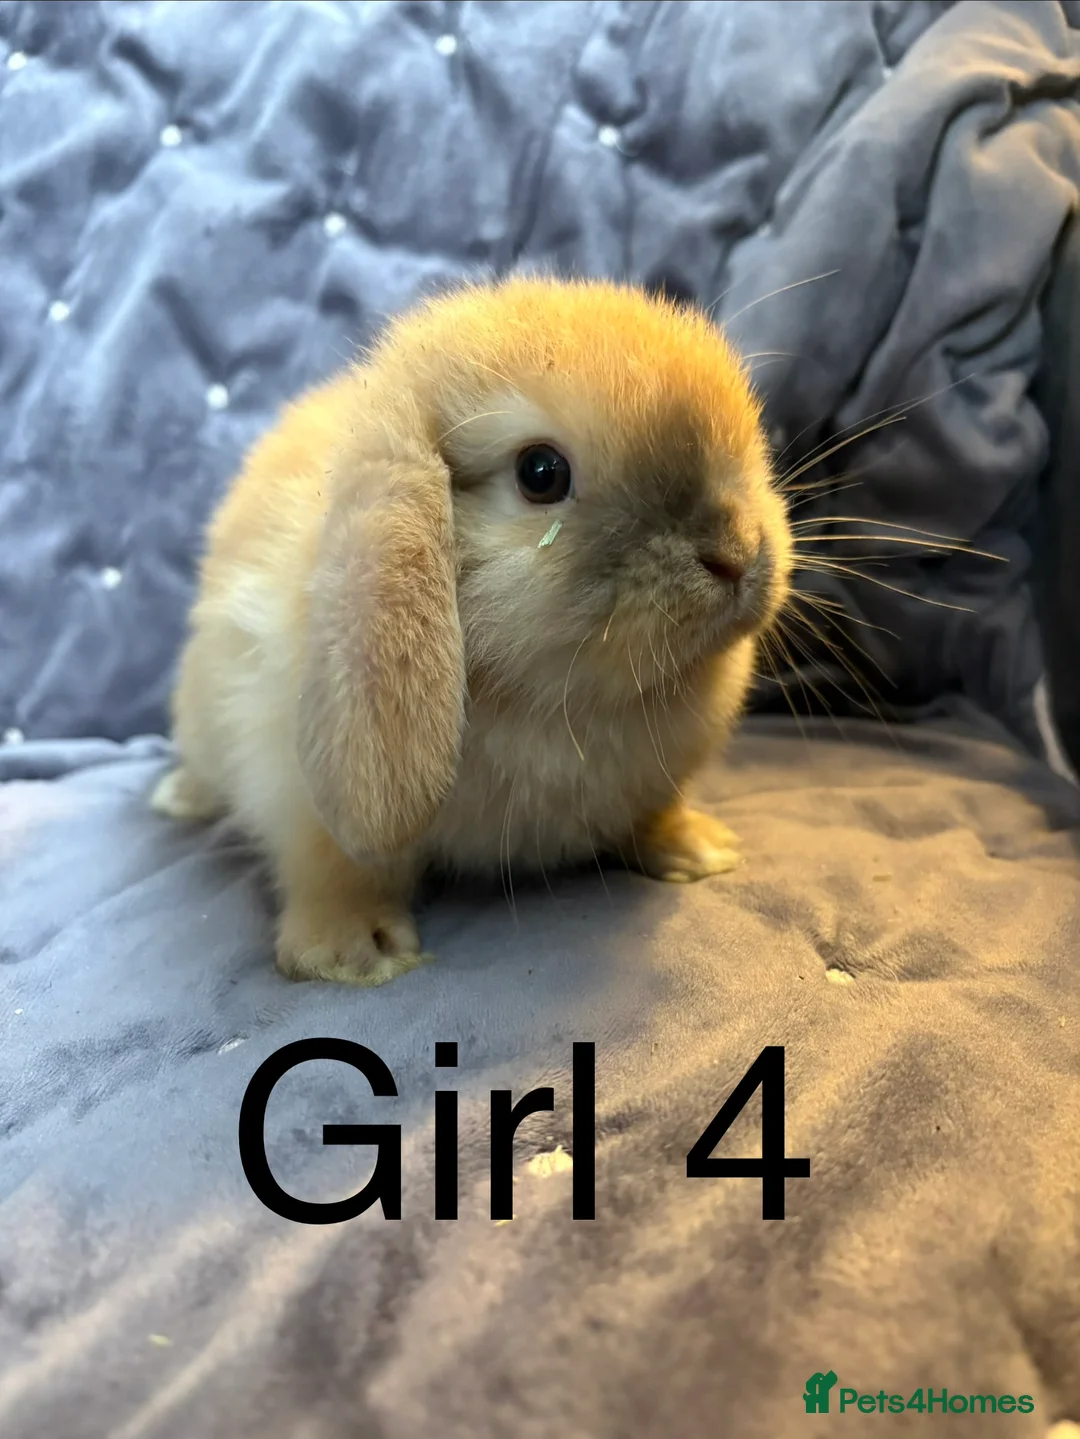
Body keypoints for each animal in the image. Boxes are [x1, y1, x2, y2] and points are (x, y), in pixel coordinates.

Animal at [151, 276, 792, 986]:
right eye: (541, 472)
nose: (736, 553)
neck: (559, 706)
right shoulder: (296, 796)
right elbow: (334, 869)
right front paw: (352, 953)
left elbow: (654, 812)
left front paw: (700, 849)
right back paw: (179, 798)